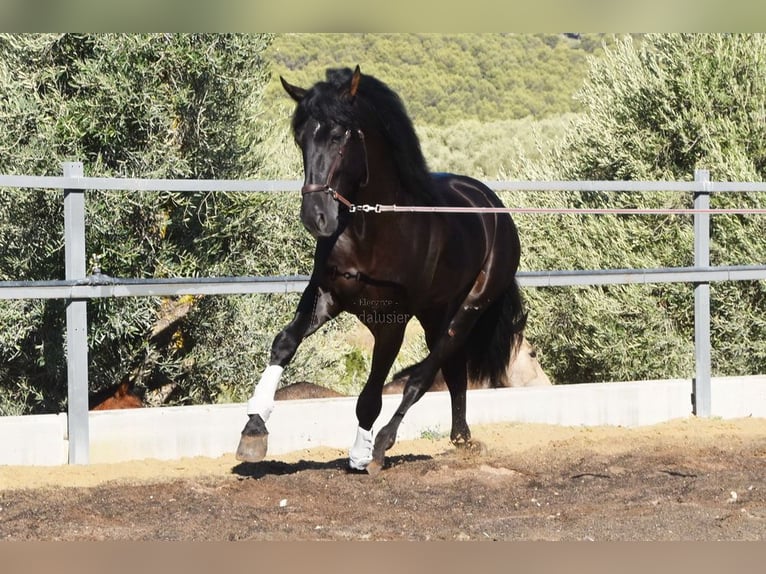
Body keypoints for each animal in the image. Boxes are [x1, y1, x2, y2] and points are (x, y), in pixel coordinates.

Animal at [236, 66, 526, 475]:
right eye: (300, 137)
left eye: (339, 135)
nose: (316, 217)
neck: (372, 231)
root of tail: (490, 203)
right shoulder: (325, 296)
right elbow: (284, 343)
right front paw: (253, 429)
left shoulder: (392, 322)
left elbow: (372, 391)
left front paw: (362, 453)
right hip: (437, 311)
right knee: (453, 369)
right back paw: (461, 439)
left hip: (470, 307)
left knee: (426, 372)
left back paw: (385, 443)